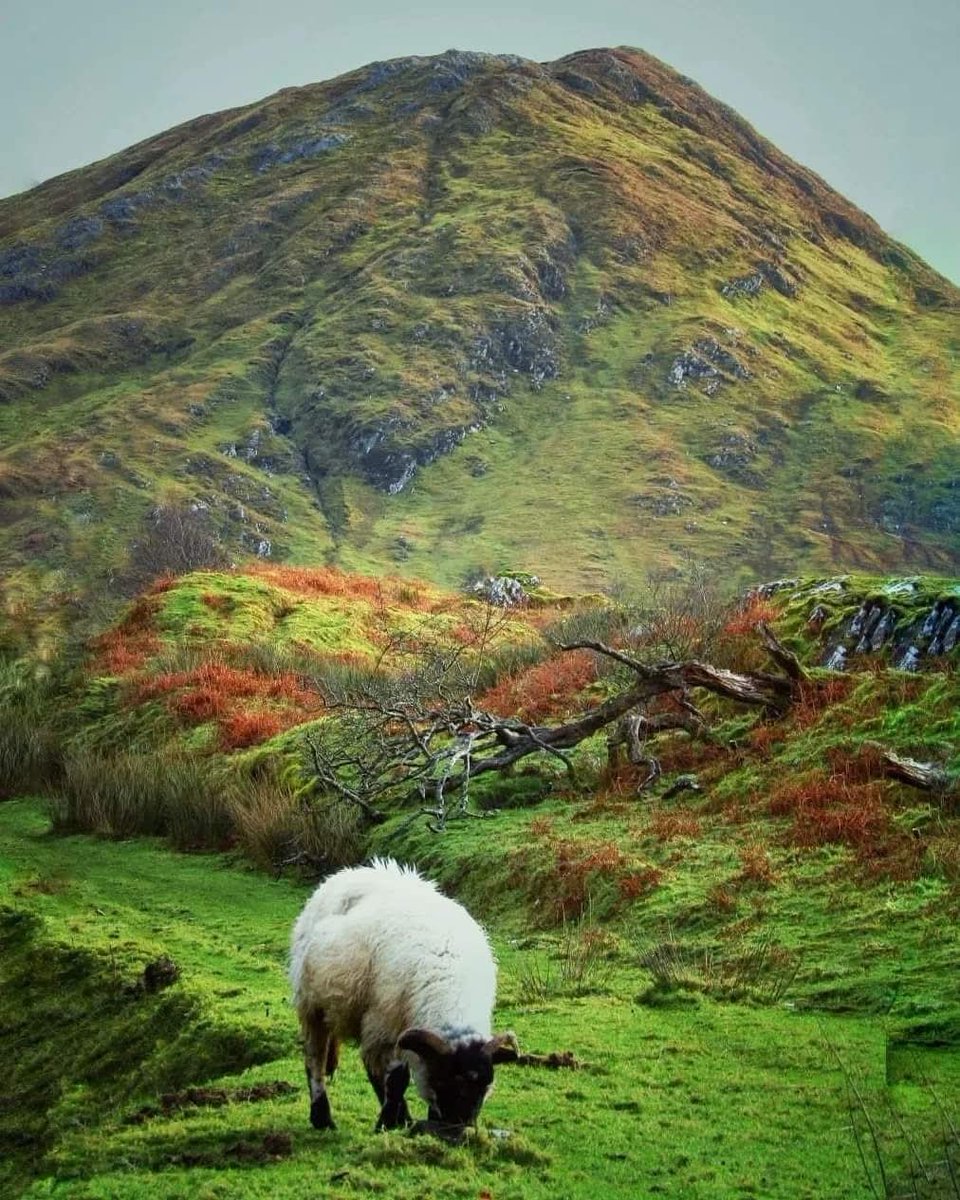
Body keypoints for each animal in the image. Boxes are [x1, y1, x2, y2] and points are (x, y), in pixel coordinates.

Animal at [289, 857, 517, 1137]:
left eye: (485, 1086)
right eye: (445, 1079)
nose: (455, 1130)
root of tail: (347, 873)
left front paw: (402, 1120)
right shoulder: (386, 1023)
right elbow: (397, 1078)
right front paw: (386, 1123)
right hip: (314, 1006)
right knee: (316, 1061)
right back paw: (323, 1117)